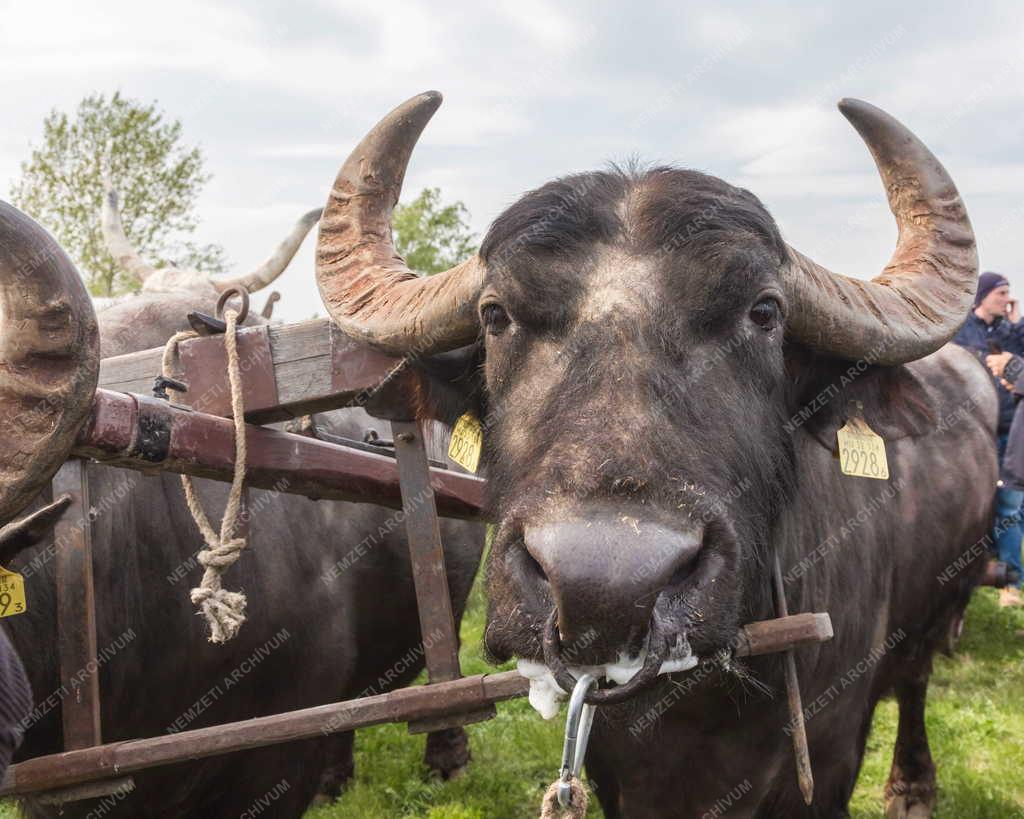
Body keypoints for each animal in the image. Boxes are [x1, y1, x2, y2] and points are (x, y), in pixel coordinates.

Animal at [309, 92, 991, 814]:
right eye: (495, 315)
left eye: (765, 312)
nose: (605, 590)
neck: (697, 708)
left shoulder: (832, 755)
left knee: (915, 681)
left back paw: (913, 785)